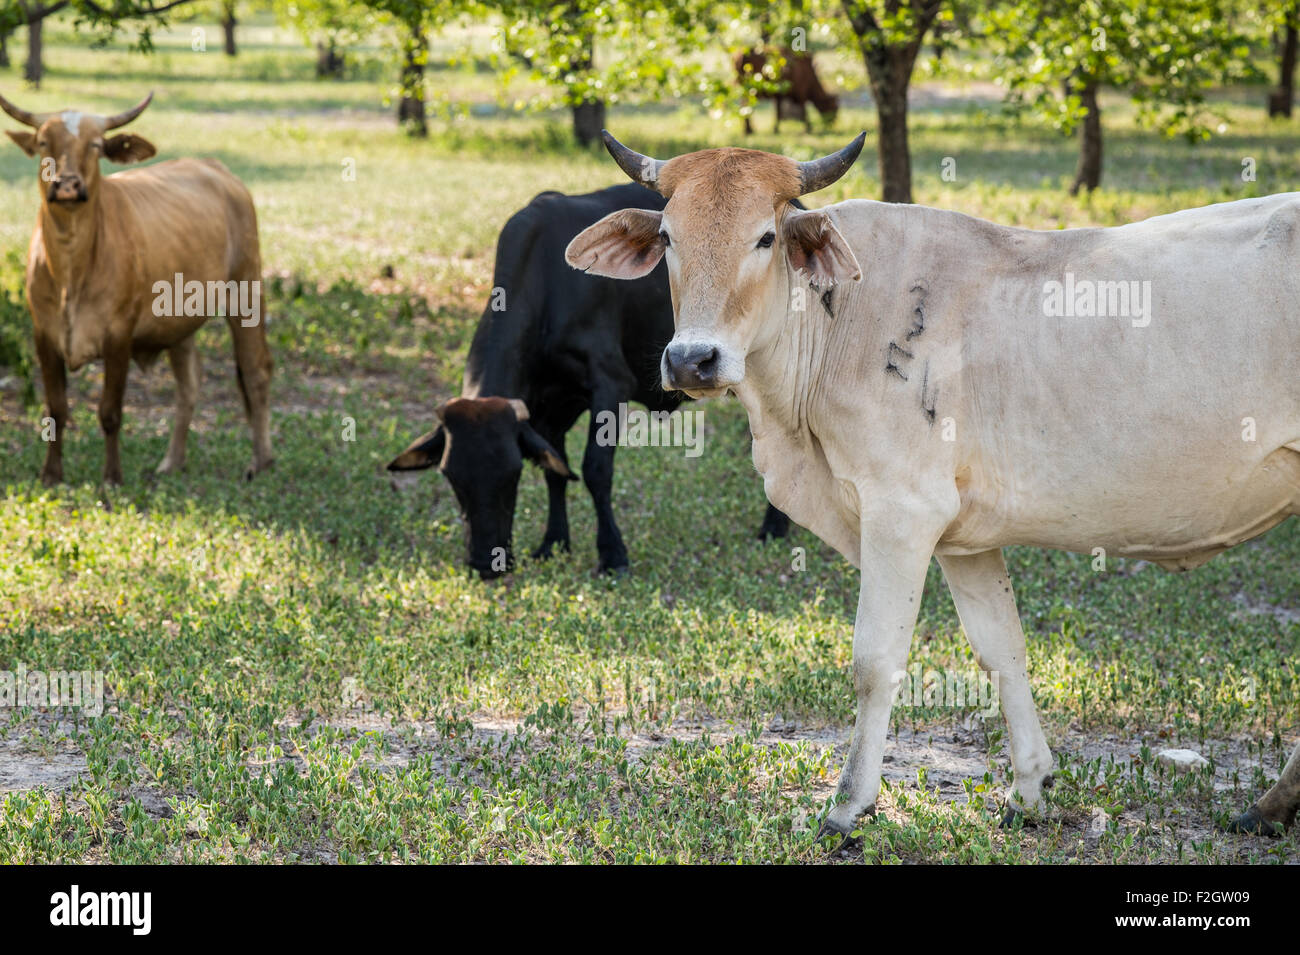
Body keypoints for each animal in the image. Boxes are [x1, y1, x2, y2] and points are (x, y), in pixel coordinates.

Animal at [1, 89, 271, 485]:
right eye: (43, 141)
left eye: (96, 145)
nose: (67, 185)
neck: (71, 269)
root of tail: (215, 168)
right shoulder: (44, 336)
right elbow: (56, 409)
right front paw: (51, 474)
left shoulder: (119, 335)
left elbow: (110, 411)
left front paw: (112, 476)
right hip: (178, 322)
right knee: (189, 384)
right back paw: (172, 461)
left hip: (246, 290)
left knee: (255, 372)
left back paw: (261, 460)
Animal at [387, 183, 790, 579]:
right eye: (451, 476)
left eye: (511, 473)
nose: (486, 563)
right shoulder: (548, 407)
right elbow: (556, 470)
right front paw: (553, 542)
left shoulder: (610, 387)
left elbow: (596, 469)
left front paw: (612, 553)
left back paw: (775, 526)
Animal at [566, 132, 1300, 836]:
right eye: (669, 237)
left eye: (766, 237)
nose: (693, 359)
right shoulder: (963, 538)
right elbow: (1003, 650)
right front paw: (1030, 790)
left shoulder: (901, 511)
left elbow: (875, 660)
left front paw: (847, 806)